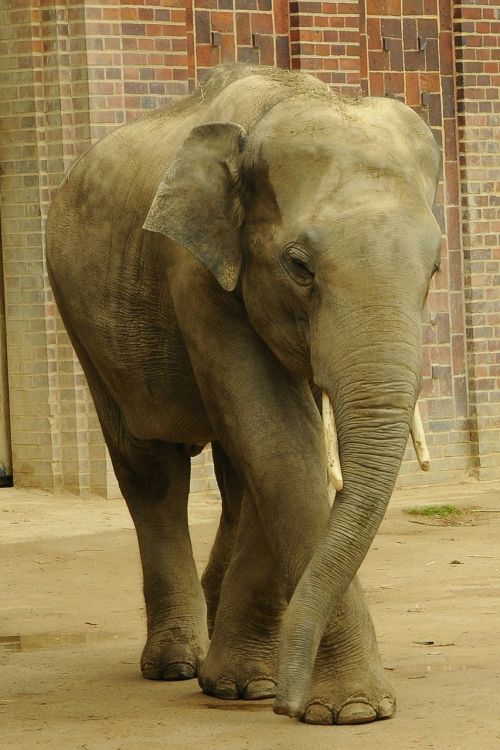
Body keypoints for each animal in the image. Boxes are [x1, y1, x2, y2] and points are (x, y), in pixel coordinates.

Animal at [45, 64, 440, 728]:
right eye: (299, 266)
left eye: (435, 268)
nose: (287, 702)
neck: (293, 98)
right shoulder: (195, 274)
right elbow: (278, 439)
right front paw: (352, 710)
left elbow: (271, 448)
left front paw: (250, 687)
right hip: (83, 321)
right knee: (151, 470)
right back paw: (176, 664)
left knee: (231, 476)